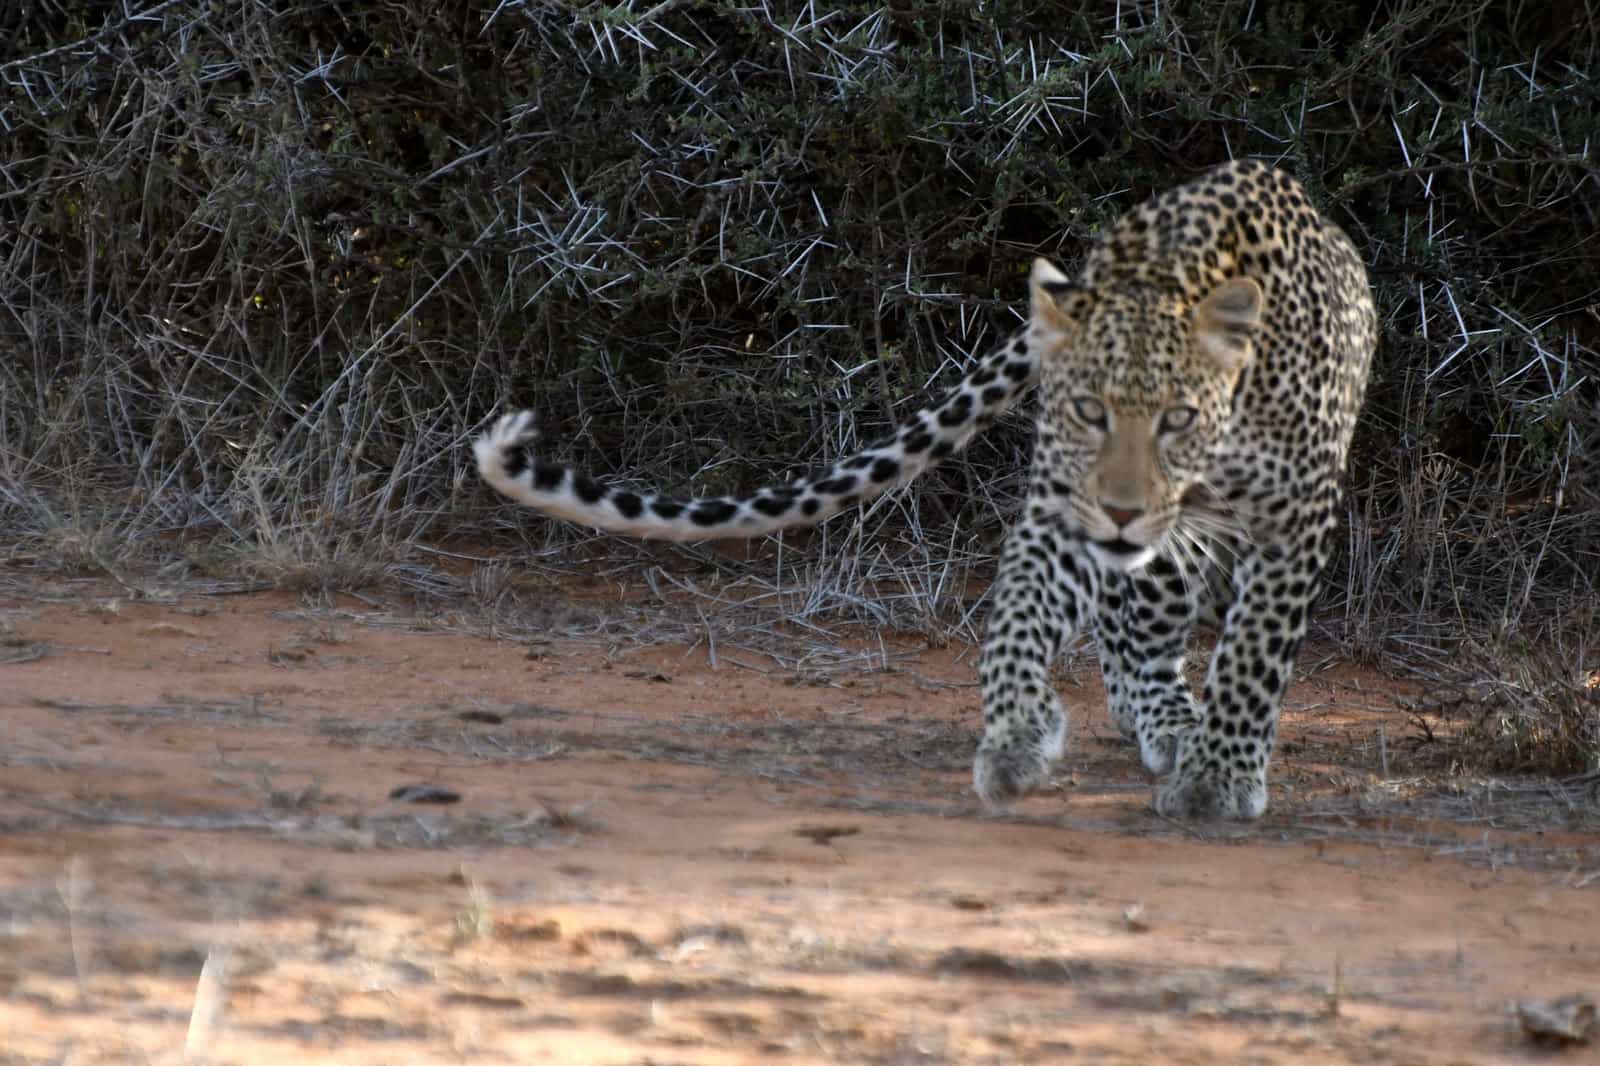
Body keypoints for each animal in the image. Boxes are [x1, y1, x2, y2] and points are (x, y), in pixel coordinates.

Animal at [475, 159, 1377, 820]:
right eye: (1089, 411)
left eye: (1177, 418)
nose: (1122, 510)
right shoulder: (1061, 509)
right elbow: (1015, 621)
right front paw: (1017, 738)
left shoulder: (1295, 517)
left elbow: (1253, 657)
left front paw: (1219, 781)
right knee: (1135, 621)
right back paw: (1157, 715)